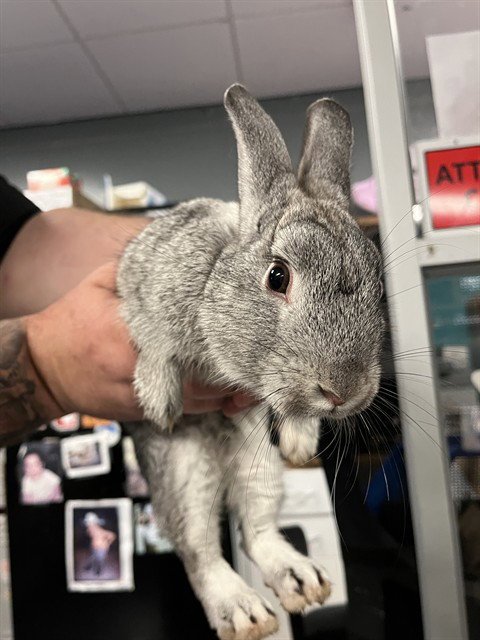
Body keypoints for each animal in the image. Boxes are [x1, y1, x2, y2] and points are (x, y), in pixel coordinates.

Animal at [118, 84, 384, 640]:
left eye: (378, 284)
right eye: (278, 276)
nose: (344, 390)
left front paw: (302, 439)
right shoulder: (143, 287)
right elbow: (153, 341)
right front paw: (157, 398)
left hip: (261, 467)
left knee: (255, 529)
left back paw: (301, 580)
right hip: (184, 471)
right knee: (200, 550)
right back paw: (243, 611)